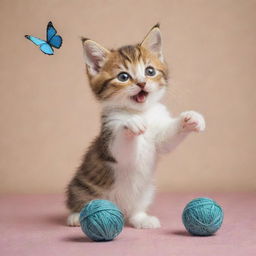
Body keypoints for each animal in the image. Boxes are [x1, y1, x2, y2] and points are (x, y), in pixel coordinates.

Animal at [66, 24, 206, 228]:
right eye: (123, 76)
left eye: (150, 71)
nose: (141, 83)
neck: (141, 112)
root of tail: (121, 212)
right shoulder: (109, 134)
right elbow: (121, 149)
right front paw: (130, 123)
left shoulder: (159, 134)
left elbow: (166, 141)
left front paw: (190, 118)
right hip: (82, 185)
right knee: (79, 200)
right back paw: (76, 216)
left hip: (146, 192)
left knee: (134, 212)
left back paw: (142, 219)